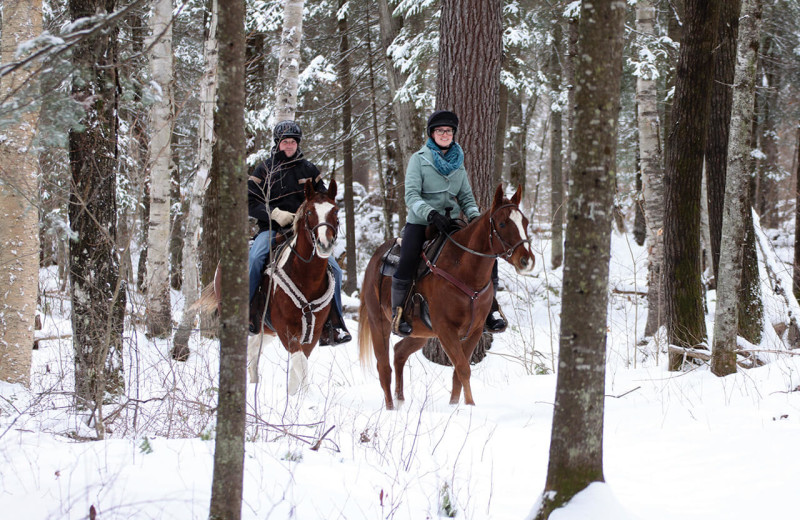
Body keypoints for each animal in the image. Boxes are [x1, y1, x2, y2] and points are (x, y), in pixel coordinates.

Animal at [199, 179, 340, 394]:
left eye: (335, 210)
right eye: (309, 212)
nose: (325, 244)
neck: (306, 278)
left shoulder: (313, 333)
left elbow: (299, 365)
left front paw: (296, 396)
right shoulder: (285, 329)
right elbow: (300, 364)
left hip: (266, 330)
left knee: (253, 351)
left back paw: (254, 382)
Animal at [358, 185, 536, 408]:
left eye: (525, 222)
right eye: (502, 223)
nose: (527, 261)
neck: (464, 271)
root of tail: (375, 257)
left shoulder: (475, 329)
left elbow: (458, 371)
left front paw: (455, 406)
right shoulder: (445, 330)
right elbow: (463, 368)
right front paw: (470, 406)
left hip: (421, 334)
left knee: (399, 353)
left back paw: (400, 401)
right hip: (378, 322)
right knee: (384, 368)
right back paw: (391, 409)